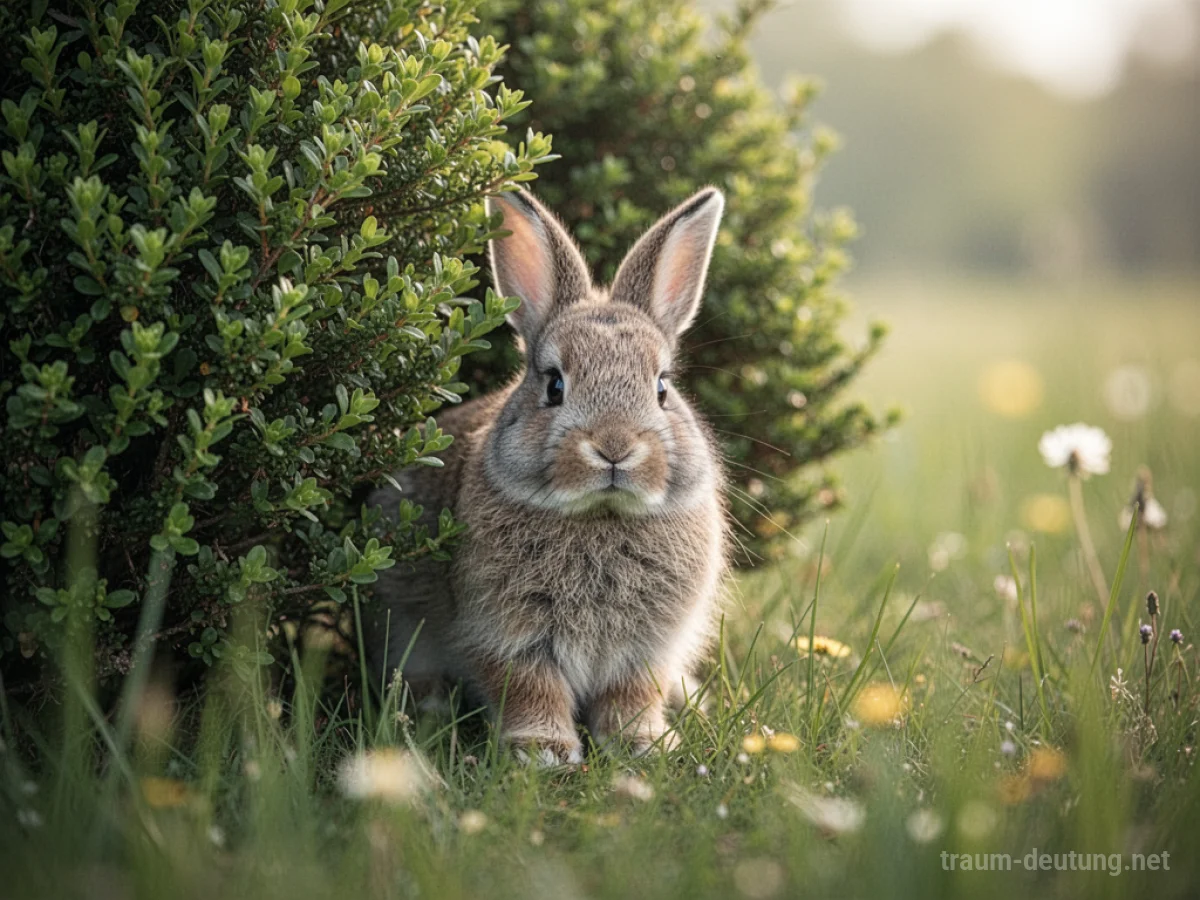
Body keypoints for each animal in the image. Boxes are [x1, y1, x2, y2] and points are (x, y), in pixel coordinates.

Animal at [365, 187, 728, 764]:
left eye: (662, 387)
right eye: (555, 385)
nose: (615, 448)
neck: (600, 516)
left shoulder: (648, 647)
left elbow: (633, 693)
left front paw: (642, 744)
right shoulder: (507, 632)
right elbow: (530, 686)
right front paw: (544, 750)